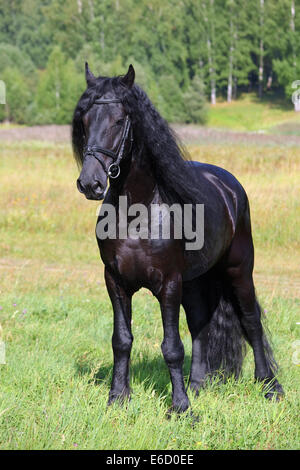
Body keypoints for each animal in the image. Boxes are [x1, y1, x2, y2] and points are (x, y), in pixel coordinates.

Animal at [71, 64, 282, 414]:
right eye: (84, 120)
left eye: (120, 119)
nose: (91, 183)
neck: (138, 213)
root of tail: (230, 187)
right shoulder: (115, 281)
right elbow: (121, 340)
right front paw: (118, 398)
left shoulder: (168, 283)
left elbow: (172, 346)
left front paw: (181, 408)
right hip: (195, 281)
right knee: (200, 325)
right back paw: (197, 384)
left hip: (239, 270)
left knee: (251, 322)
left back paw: (269, 386)